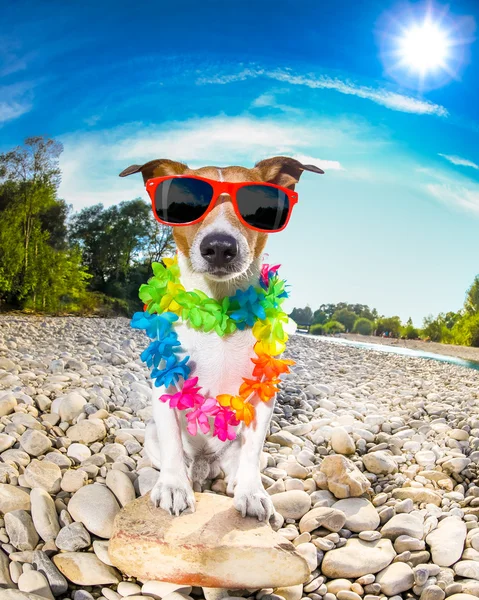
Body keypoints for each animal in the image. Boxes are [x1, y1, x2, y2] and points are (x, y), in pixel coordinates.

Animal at [120, 156, 324, 520]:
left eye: (259, 205)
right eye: (184, 204)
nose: (219, 246)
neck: (219, 309)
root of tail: (208, 462)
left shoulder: (264, 392)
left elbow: (252, 453)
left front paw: (251, 492)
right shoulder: (164, 382)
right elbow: (173, 442)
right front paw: (173, 486)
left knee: (241, 461)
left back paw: (235, 480)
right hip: (150, 433)